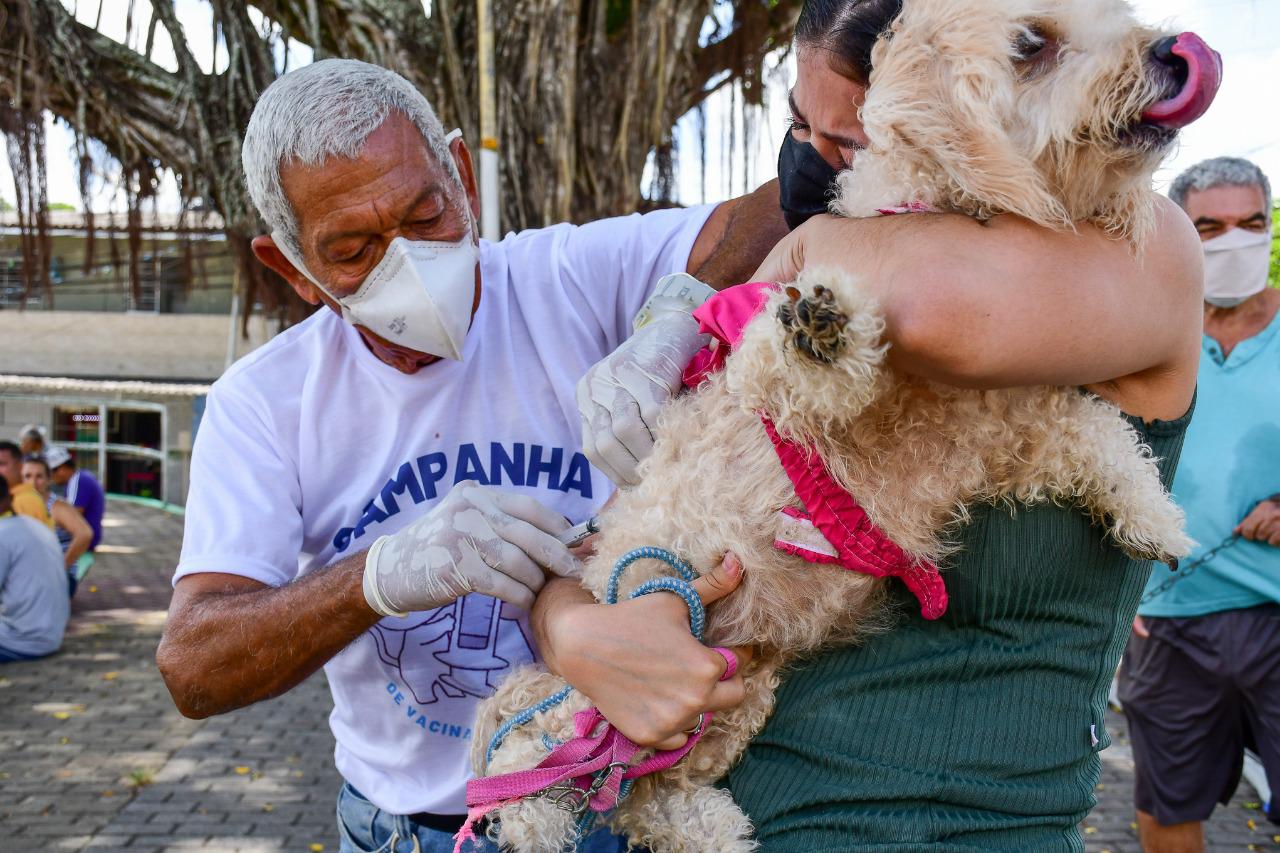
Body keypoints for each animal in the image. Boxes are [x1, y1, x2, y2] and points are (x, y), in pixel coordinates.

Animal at [468, 3, 1208, 845]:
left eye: (1121, 16)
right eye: (1031, 43)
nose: (1170, 52)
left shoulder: (1018, 424)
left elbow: (1105, 439)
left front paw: (1157, 519)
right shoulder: (774, 388)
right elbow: (792, 363)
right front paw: (823, 327)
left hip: (734, 690)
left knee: (641, 789)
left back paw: (714, 827)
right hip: (621, 650)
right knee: (532, 743)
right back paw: (527, 817)